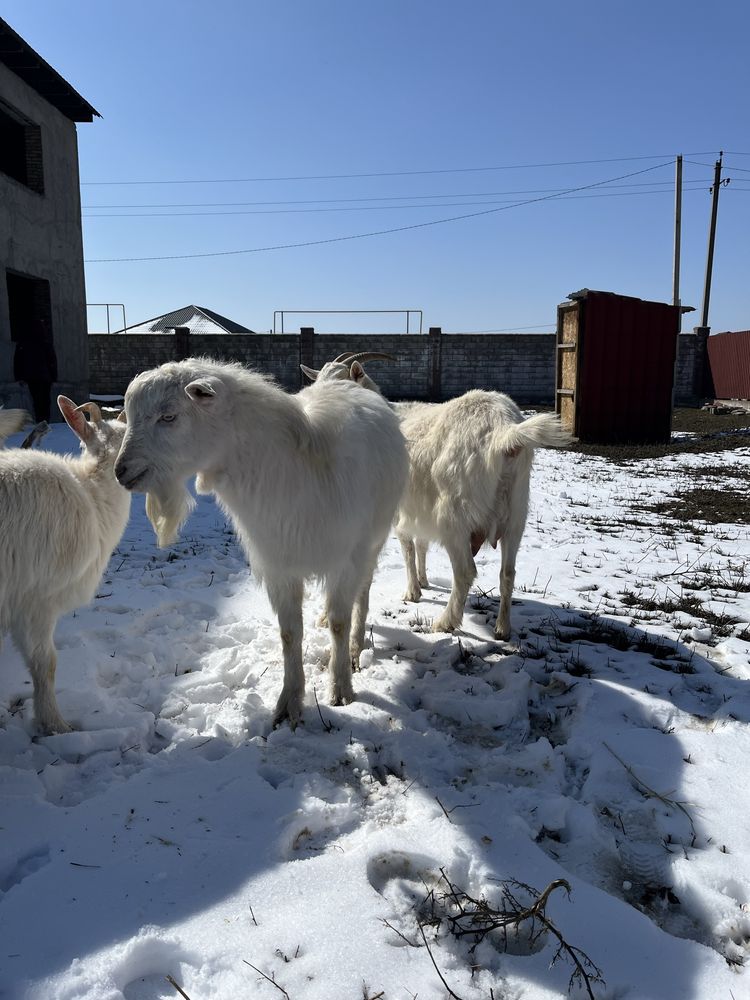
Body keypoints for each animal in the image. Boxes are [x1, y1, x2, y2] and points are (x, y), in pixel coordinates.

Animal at [116, 360, 412, 728]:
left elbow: (341, 623)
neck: (299, 469)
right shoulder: (278, 565)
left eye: (168, 416)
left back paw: (356, 648)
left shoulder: (347, 558)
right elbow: (289, 634)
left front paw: (341, 687)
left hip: (372, 541)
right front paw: (289, 703)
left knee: (363, 591)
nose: (121, 471)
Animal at [302, 360, 572, 640]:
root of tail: (504, 431)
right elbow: (421, 544)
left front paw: (413, 592)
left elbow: (408, 548)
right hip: (516, 514)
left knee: (465, 572)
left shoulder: (399, 512)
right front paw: (423, 581)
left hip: (454, 517)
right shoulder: (419, 509)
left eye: (342, 381)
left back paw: (446, 622)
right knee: (507, 572)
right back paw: (502, 629)